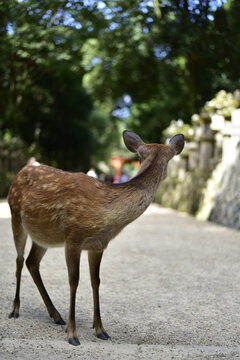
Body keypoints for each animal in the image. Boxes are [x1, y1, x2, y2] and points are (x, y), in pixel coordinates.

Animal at [7, 130, 184, 346]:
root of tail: (18, 174)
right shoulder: (73, 238)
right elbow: (74, 280)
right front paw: (72, 335)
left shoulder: (98, 245)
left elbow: (96, 280)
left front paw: (100, 329)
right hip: (15, 216)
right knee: (19, 259)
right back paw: (15, 310)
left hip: (43, 235)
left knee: (32, 262)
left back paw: (56, 315)